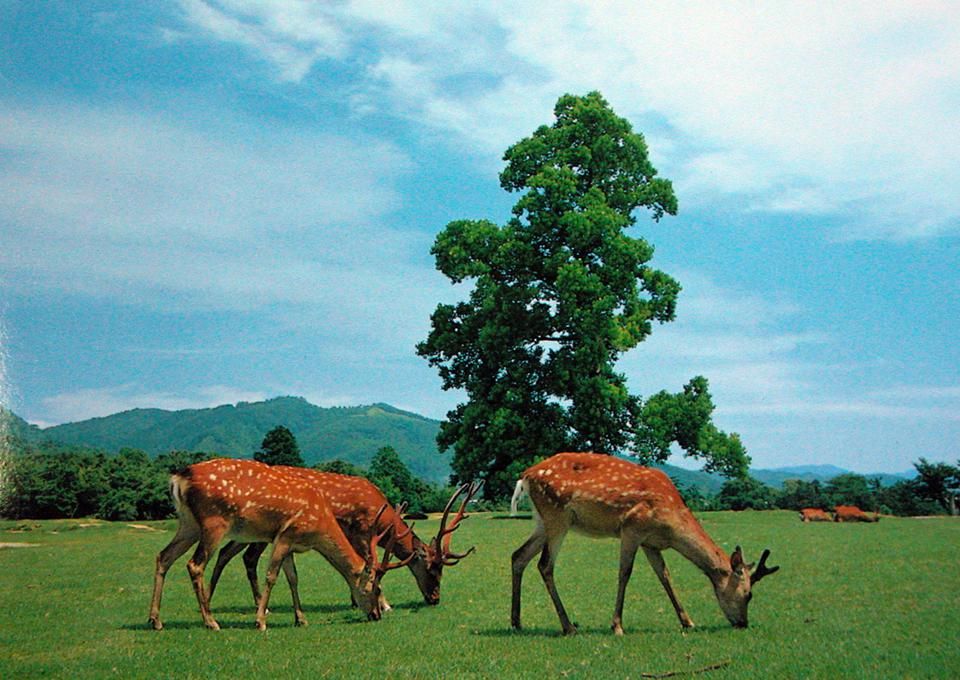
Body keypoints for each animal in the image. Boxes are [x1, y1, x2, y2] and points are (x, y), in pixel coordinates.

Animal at [148, 458, 409, 631]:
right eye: (373, 588)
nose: (376, 614)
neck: (319, 526)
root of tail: (178, 478)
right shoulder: (285, 535)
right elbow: (272, 576)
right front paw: (260, 621)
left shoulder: (289, 543)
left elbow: (293, 578)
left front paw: (300, 619)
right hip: (213, 522)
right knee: (195, 564)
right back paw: (211, 621)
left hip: (188, 523)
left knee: (164, 556)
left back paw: (155, 620)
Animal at [205, 472, 481, 620]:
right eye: (433, 570)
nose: (435, 599)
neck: (381, 514)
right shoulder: (362, 530)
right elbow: (369, 565)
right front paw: (384, 604)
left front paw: (354, 600)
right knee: (245, 557)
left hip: (249, 532)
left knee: (228, 553)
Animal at [510, 452, 779, 636]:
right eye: (748, 594)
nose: (743, 623)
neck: (672, 526)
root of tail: (525, 477)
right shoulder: (632, 527)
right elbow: (625, 573)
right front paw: (617, 626)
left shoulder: (651, 543)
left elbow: (665, 576)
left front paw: (687, 621)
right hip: (557, 516)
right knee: (545, 565)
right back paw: (568, 626)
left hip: (542, 522)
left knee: (518, 556)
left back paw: (516, 622)